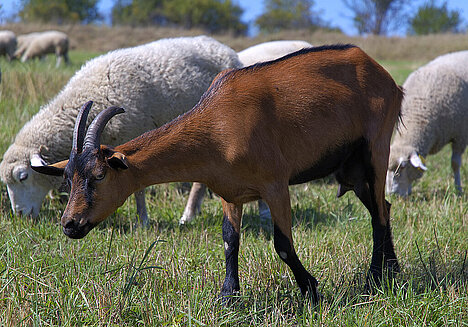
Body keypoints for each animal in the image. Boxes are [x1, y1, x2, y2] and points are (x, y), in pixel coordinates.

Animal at [0, 35, 241, 223]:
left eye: (23, 177)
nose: (20, 215)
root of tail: (225, 49)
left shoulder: (133, 138)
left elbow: (139, 187)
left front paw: (143, 220)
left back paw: (188, 215)